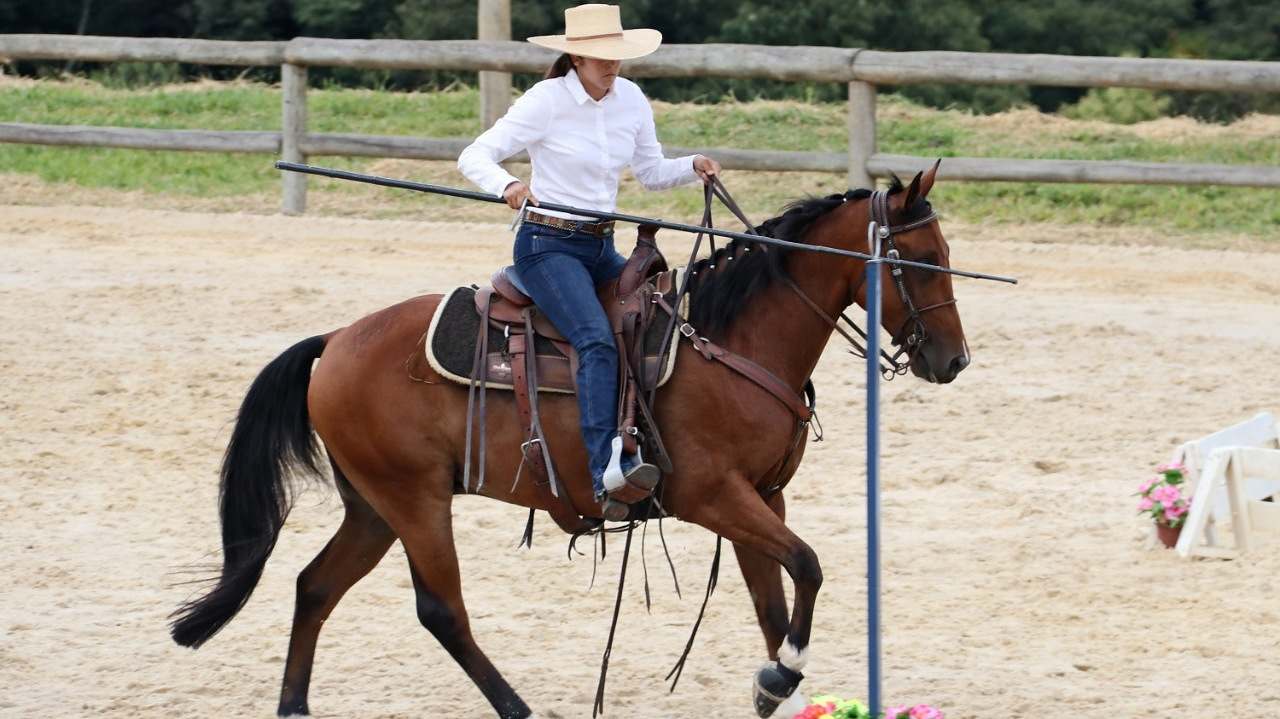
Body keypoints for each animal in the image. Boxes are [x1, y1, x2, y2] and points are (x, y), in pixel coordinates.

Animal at [170, 163, 967, 716]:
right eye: (924, 258)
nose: (953, 359)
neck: (732, 340)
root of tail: (334, 341)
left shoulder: (764, 495)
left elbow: (777, 598)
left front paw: (778, 683)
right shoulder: (712, 495)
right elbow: (809, 565)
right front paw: (781, 674)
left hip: (372, 507)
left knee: (315, 585)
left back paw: (295, 704)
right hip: (415, 499)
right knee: (440, 609)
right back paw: (517, 707)